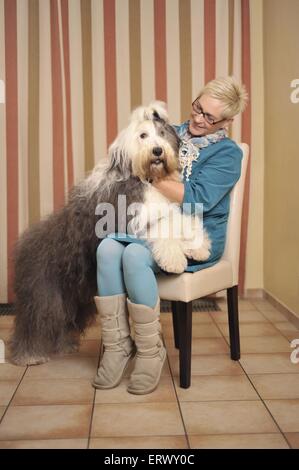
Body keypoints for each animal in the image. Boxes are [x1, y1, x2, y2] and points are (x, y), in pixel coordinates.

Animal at [9, 102, 211, 368]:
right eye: (143, 135)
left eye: (162, 133)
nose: (157, 151)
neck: (144, 178)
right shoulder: (130, 217)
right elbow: (160, 229)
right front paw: (174, 259)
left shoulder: (164, 207)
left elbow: (179, 220)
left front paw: (200, 246)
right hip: (43, 290)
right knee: (36, 320)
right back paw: (29, 355)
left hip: (75, 294)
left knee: (64, 318)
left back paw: (64, 345)